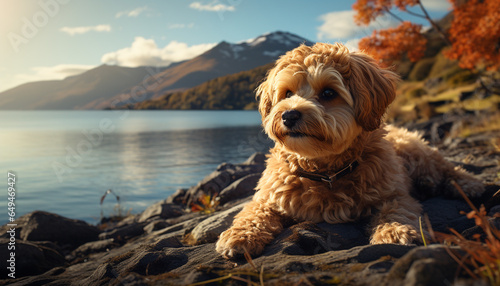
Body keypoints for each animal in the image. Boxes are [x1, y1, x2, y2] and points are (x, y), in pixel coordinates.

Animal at [216, 43, 484, 260]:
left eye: (328, 93)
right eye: (287, 93)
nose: (289, 115)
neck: (325, 171)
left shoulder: (394, 192)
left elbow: (397, 210)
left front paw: (394, 232)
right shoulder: (269, 196)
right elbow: (252, 212)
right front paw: (239, 236)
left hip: (417, 153)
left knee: (445, 167)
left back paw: (467, 184)